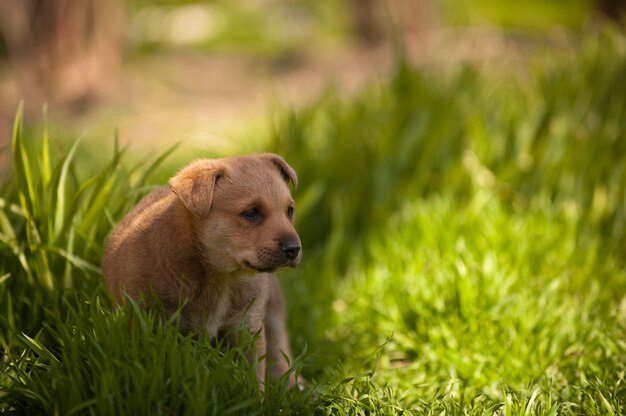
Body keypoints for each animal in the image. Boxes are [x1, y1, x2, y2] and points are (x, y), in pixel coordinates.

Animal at [101, 154, 302, 388]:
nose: (294, 249)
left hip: (272, 310)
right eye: (252, 212)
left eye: (289, 211)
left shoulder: (247, 327)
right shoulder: (146, 321)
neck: (222, 278)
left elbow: (254, 377)